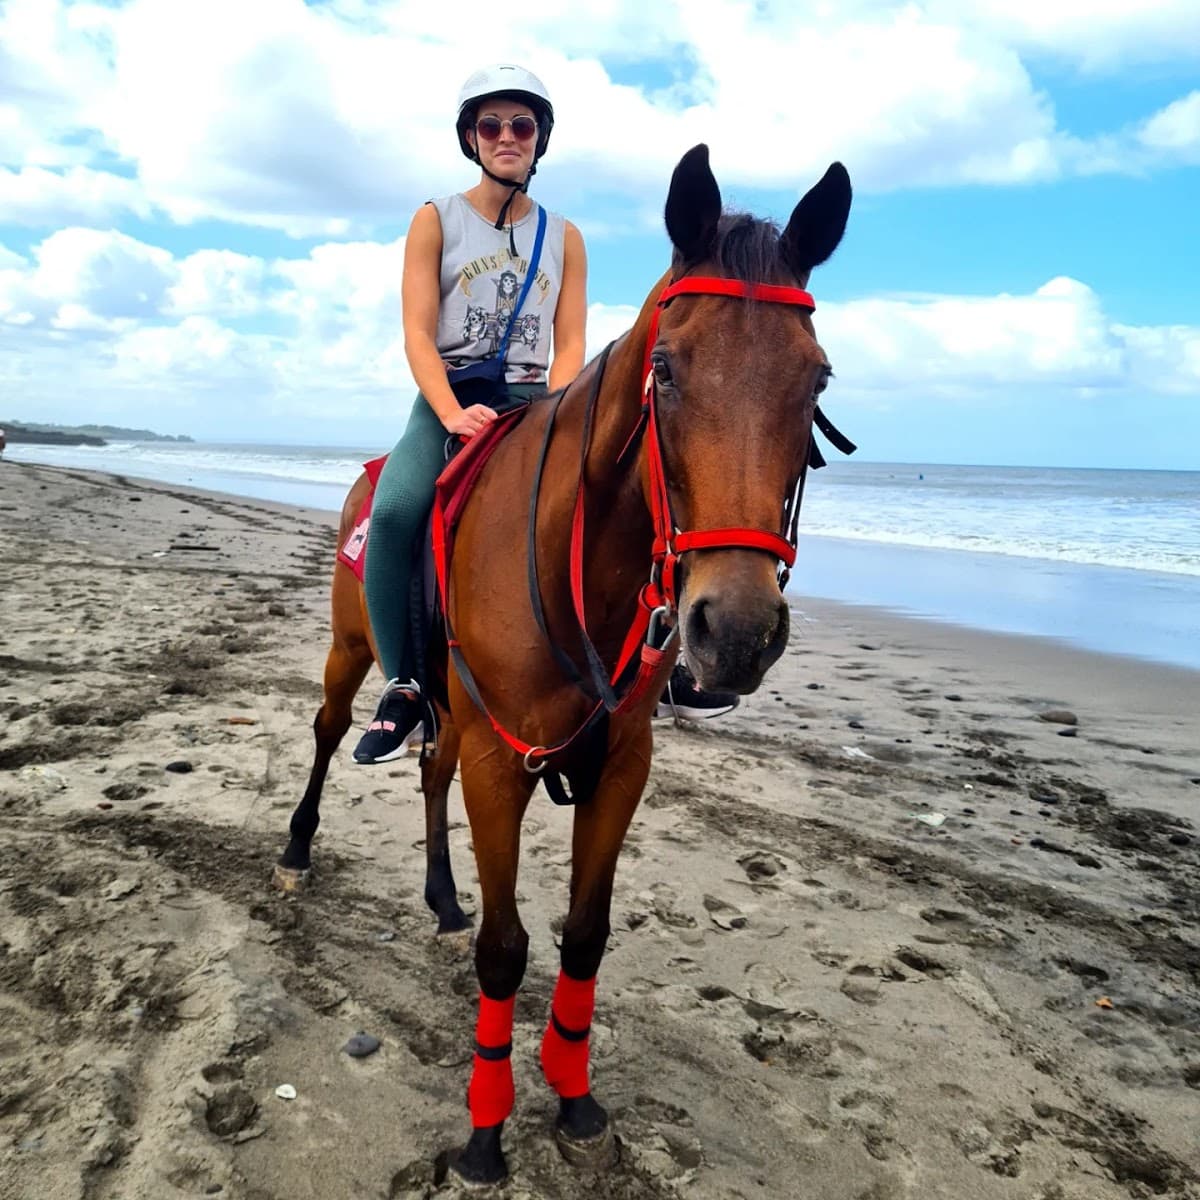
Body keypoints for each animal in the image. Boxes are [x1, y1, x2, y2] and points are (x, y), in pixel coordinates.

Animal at [275, 143, 851, 1185]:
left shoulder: (619, 764)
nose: (736, 630)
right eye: (665, 368)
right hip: (352, 653)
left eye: (817, 380)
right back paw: (298, 850)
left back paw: (440, 896)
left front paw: (575, 1096)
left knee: (429, 769)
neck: (572, 555)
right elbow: (506, 951)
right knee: (332, 732)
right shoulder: (501, 763)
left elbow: (583, 936)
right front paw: (485, 1130)